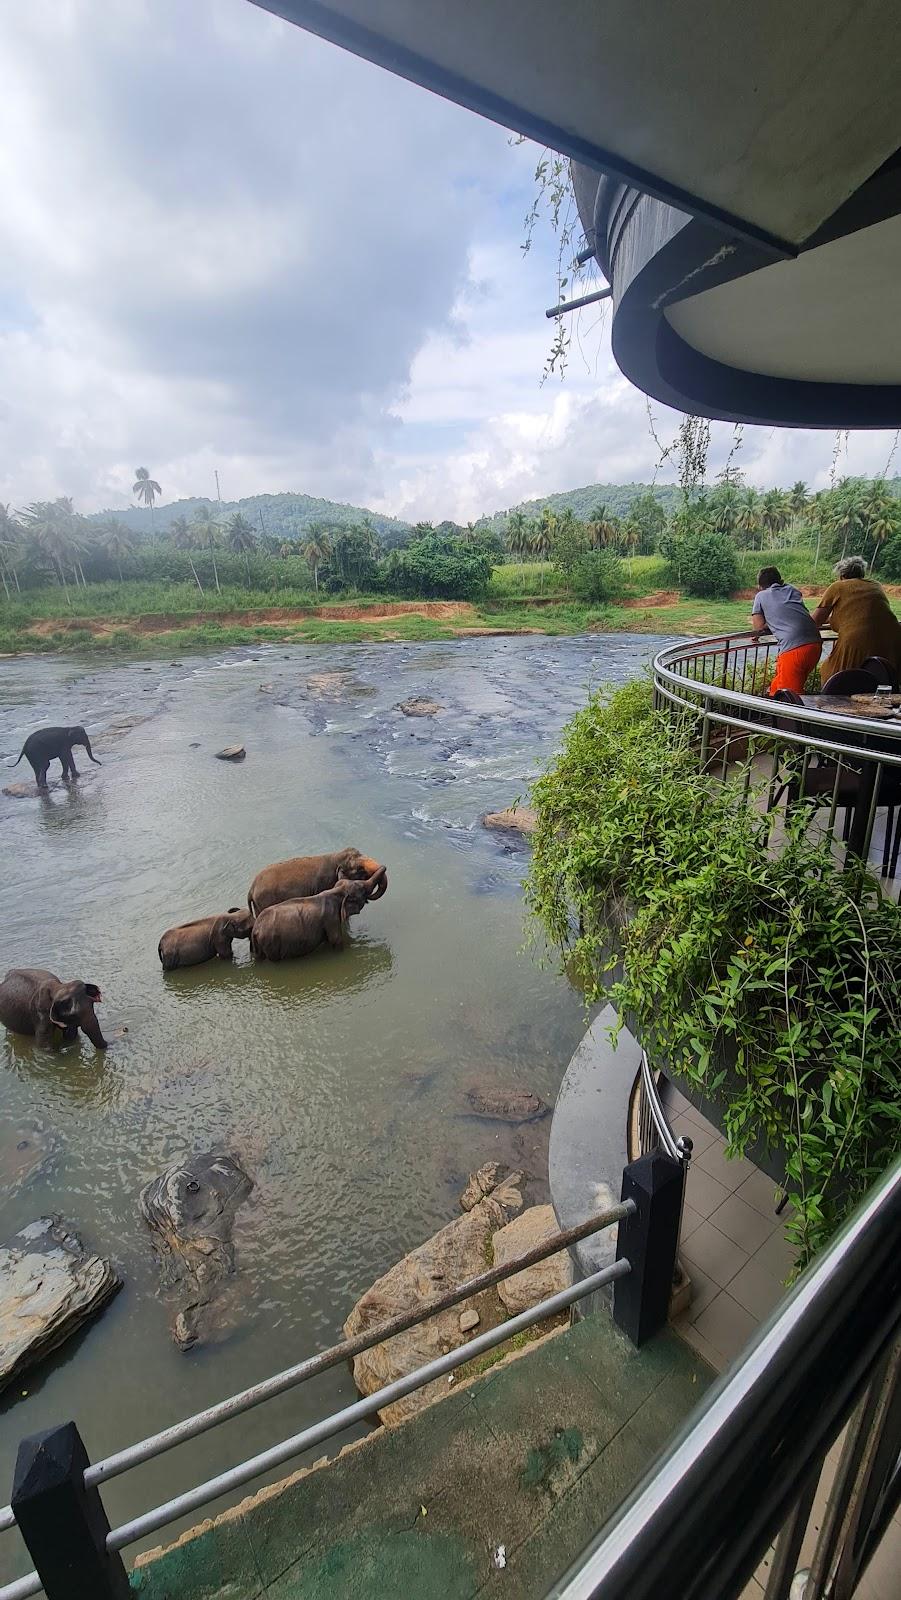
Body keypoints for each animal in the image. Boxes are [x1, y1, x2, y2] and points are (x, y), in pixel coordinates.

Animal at [248, 847, 387, 914]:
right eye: (360, 870)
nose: (384, 866)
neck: (335, 856)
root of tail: (251, 889)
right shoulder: (325, 884)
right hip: (264, 901)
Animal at [250, 875, 379, 962]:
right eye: (362, 889)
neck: (336, 891)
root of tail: (255, 929)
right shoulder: (331, 919)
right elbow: (336, 940)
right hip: (271, 944)